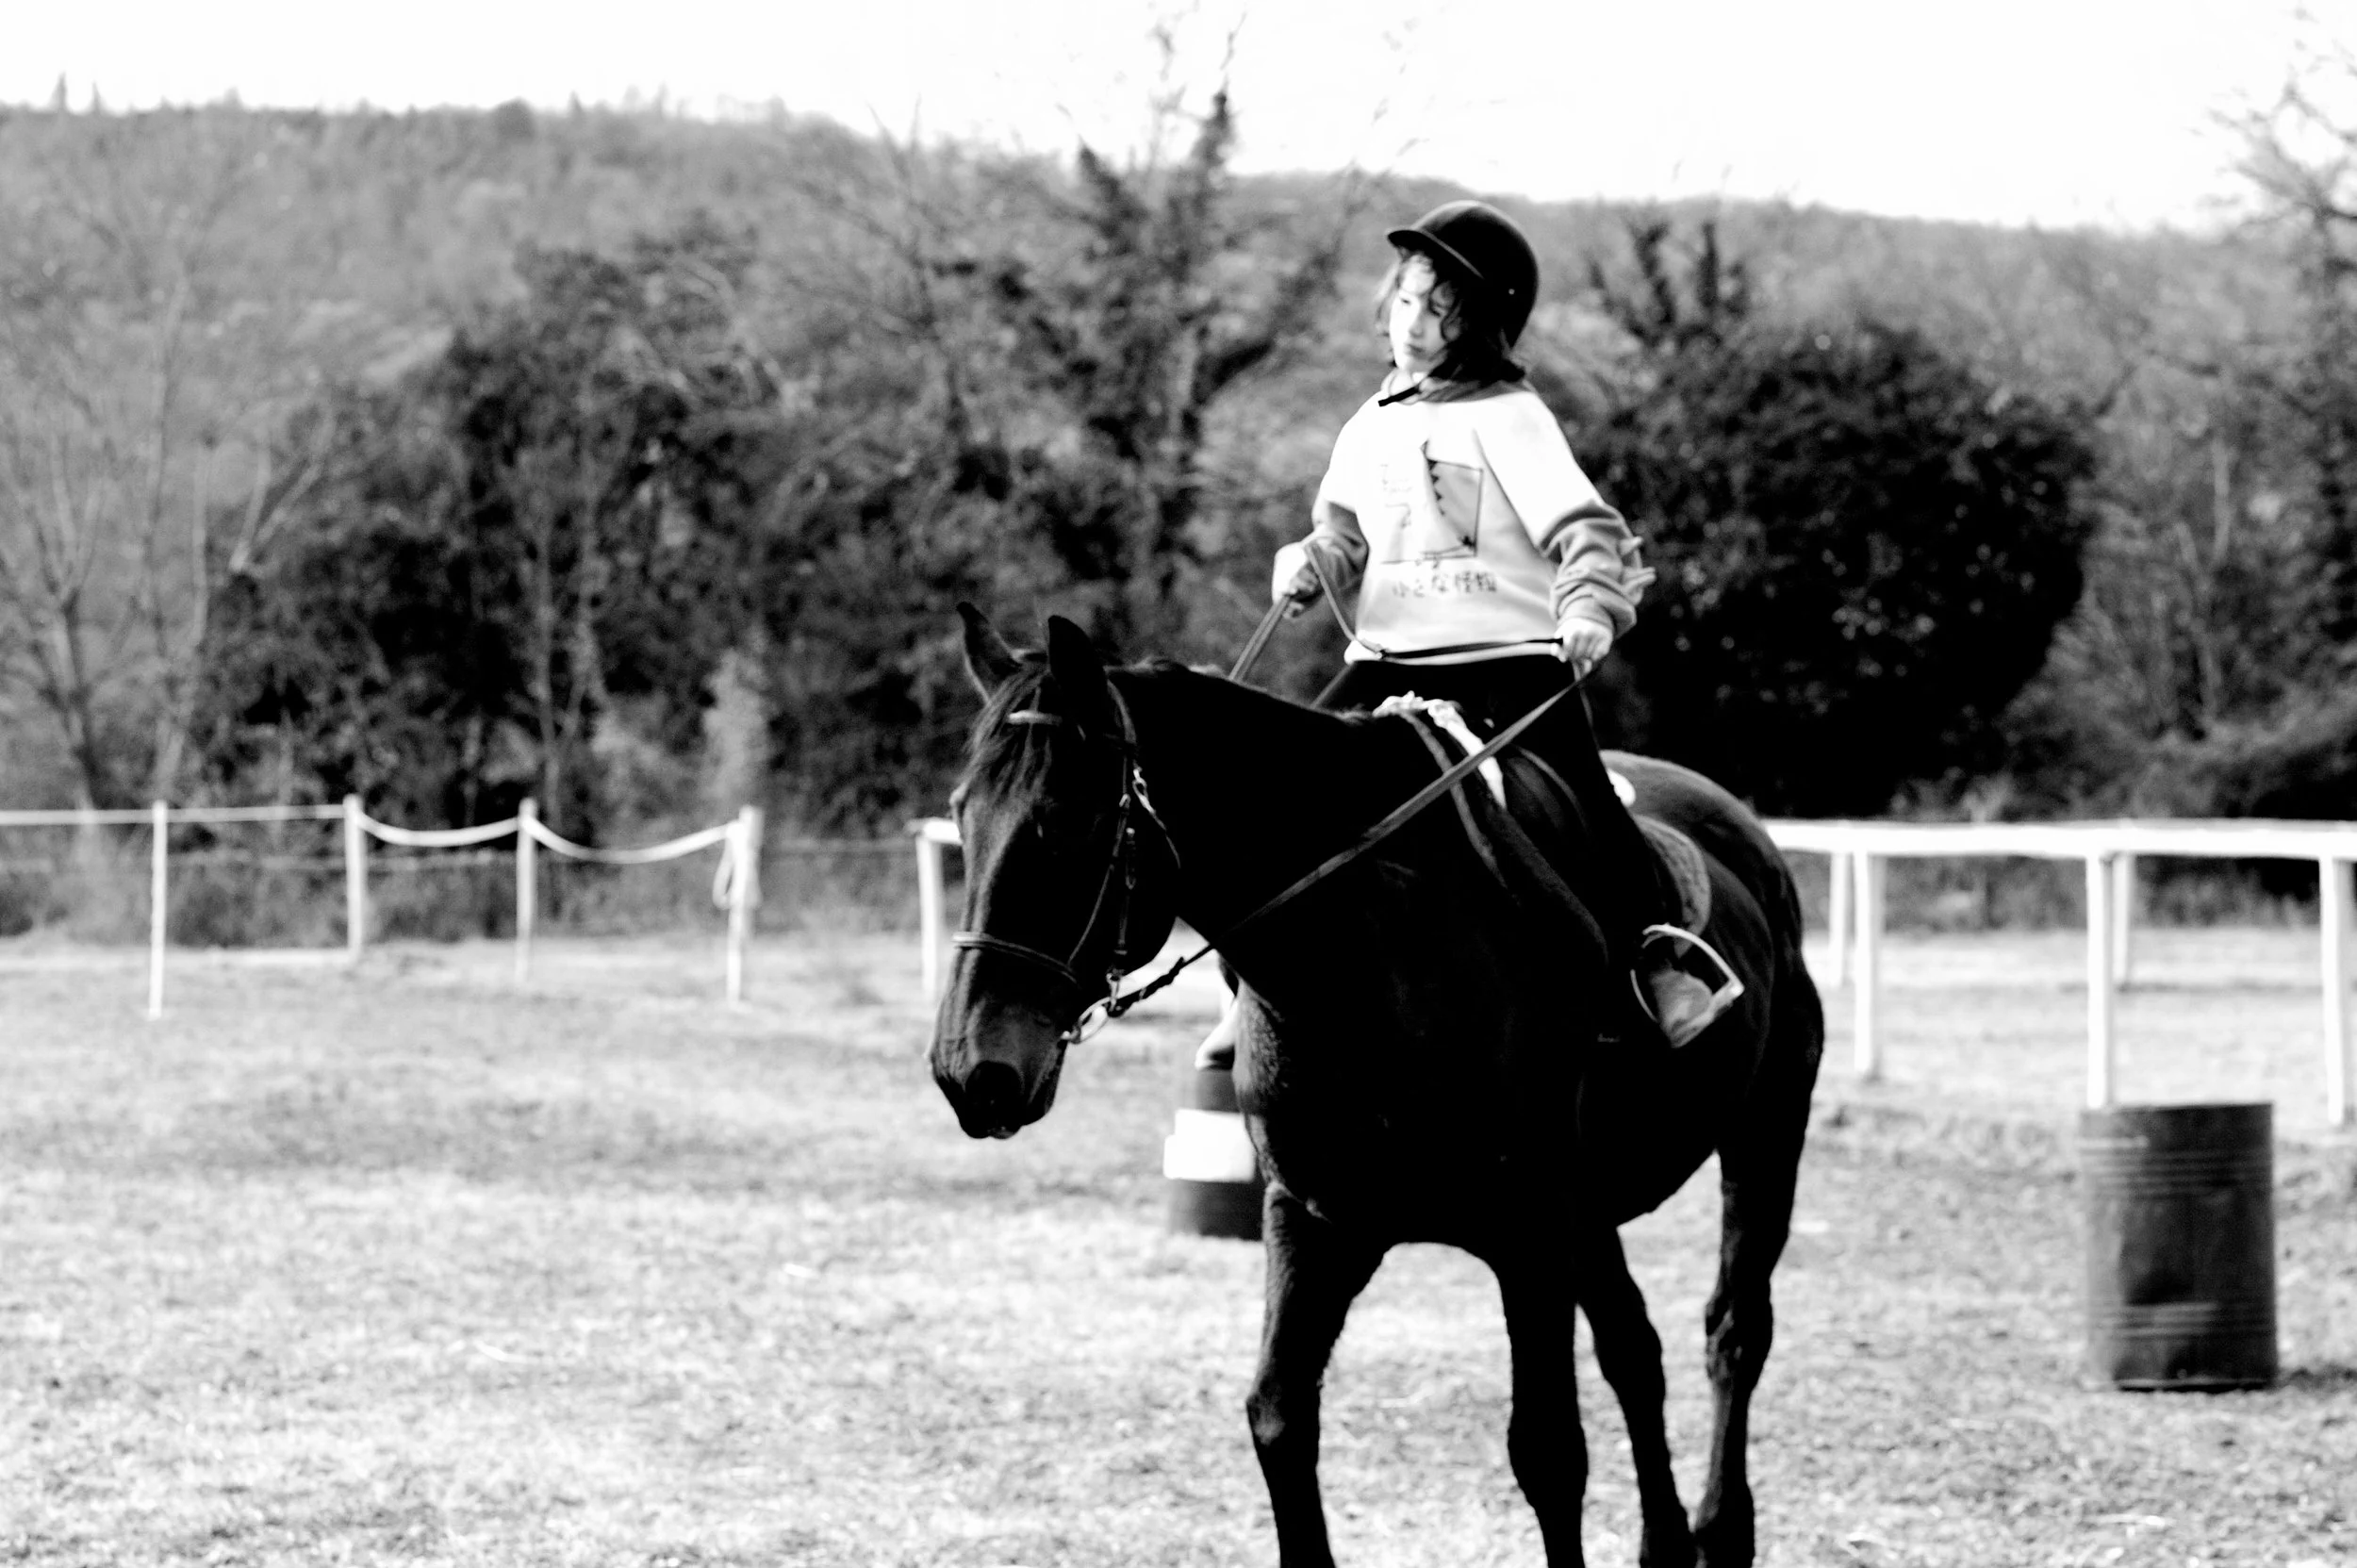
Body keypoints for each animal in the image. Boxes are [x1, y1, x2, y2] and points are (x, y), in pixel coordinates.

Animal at [930, 608, 1825, 1568]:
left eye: (1066, 820)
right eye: (962, 813)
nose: (971, 1070)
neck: (1377, 954)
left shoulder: (1530, 1230)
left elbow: (1549, 1451)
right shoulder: (1319, 1221)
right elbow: (1281, 1419)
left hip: (1763, 1137)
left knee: (1733, 1331)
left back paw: (1721, 1526)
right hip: (1591, 1216)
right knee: (1634, 1346)